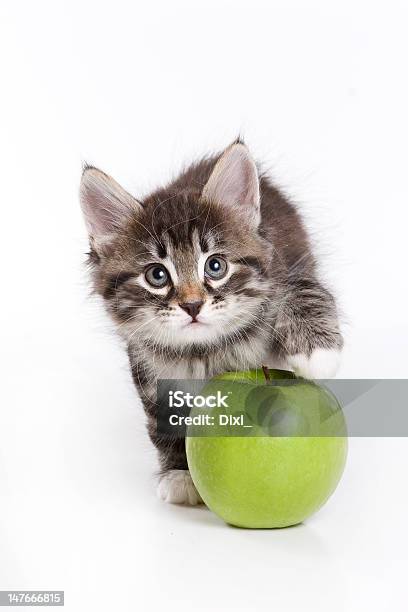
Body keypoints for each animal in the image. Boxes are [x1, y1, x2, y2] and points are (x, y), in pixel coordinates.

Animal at [79, 141, 342, 504]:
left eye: (215, 266)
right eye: (157, 275)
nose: (192, 305)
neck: (205, 352)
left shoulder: (285, 268)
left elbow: (305, 290)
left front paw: (317, 353)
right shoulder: (150, 372)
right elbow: (165, 420)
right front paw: (180, 473)